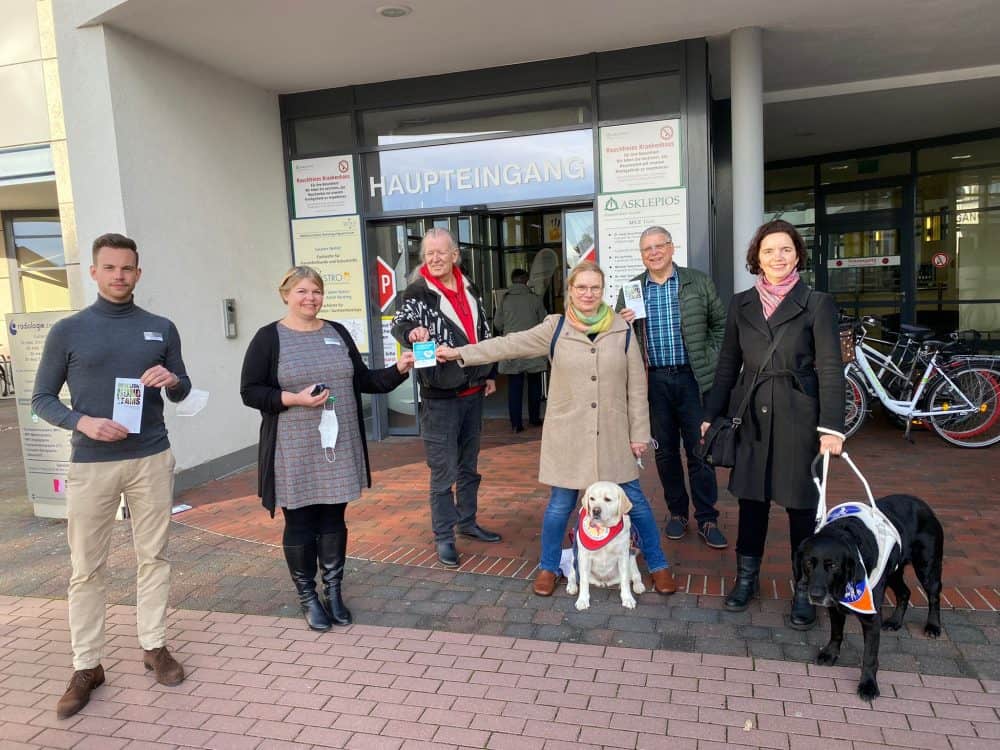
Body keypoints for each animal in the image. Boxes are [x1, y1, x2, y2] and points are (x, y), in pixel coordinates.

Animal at [568, 482, 644, 612]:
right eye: (592, 498)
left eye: (607, 499)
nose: (595, 511)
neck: (604, 527)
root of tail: (604, 583)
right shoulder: (584, 557)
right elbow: (583, 581)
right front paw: (582, 600)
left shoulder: (623, 555)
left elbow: (625, 580)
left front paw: (627, 598)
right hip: (575, 558)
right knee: (572, 576)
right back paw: (572, 586)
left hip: (631, 557)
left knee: (635, 576)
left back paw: (638, 586)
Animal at [792, 494, 940, 704]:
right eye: (808, 563)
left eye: (833, 565)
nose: (815, 595)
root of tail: (919, 501)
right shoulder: (835, 606)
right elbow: (836, 632)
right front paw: (830, 654)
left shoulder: (871, 617)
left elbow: (869, 656)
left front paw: (868, 685)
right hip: (893, 572)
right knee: (905, 592)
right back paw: (895, 621)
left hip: (927, 566)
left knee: (934, 595)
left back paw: (933, 626)